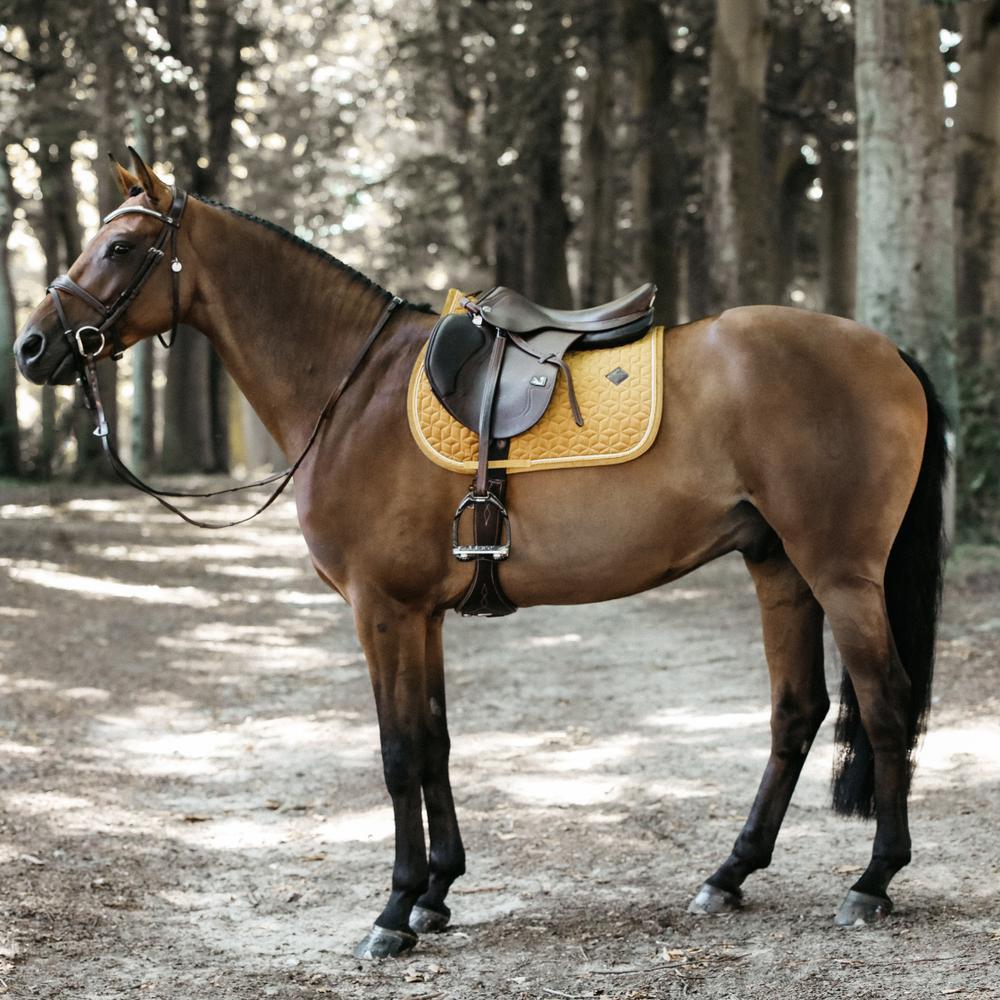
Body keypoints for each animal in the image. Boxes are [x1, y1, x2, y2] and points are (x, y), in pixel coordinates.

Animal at [13, 150, 947, 959]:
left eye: (121, 247)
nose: (31, 347)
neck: (353, 391)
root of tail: (885, 350)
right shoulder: (419, 614)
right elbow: (434, 740)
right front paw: (436, 892)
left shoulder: (381, 610)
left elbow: (396, 753)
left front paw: (393, 911)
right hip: (778, 567)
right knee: (797, 711)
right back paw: (730, 873)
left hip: (841, 573)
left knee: (887, 703)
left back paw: (872, 880)